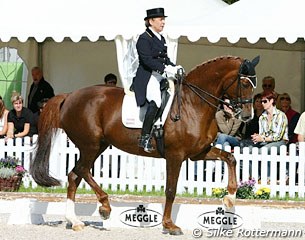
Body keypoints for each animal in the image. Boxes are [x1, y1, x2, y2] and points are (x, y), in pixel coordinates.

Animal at [30, 54, 258, 234]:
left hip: (97, 146)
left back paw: (75, 220)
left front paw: (229, 198)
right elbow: (171, 190)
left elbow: (230, 157)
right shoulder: (175, 155)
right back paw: (104, 207)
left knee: (75, 175)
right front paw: (169, 225)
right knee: (81, 170)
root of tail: (69, 96)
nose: (247, 116)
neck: (194, 104)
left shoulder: (198, 153)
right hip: (90, 145)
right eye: (245, 84)